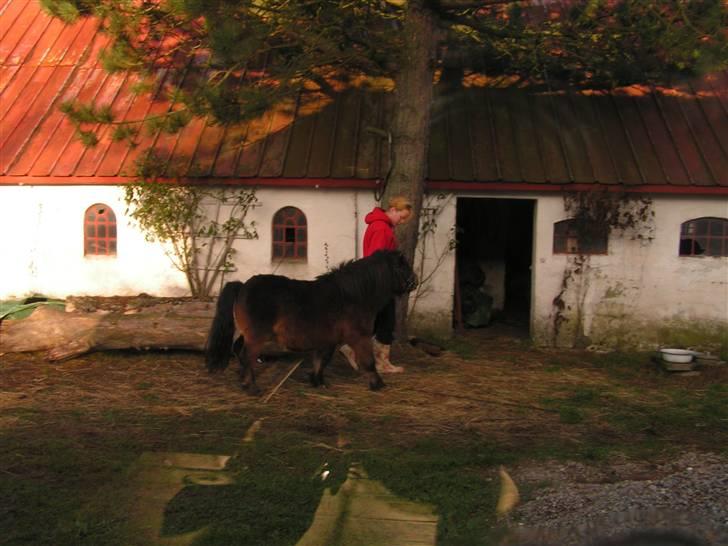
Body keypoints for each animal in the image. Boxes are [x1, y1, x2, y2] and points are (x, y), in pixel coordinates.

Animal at [208, 249, 418, 394]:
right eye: (403, 266)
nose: (415, 282)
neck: (351, 296)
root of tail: (243, 286)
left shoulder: (327, 340)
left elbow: (321, 360)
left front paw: (318, 382)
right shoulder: (359, 338)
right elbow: (368, 362)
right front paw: (378, 384)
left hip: (247, 334)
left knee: (238, 351)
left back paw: (242, 379)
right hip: (256, 337)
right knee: (247, 355)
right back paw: (251, 386)